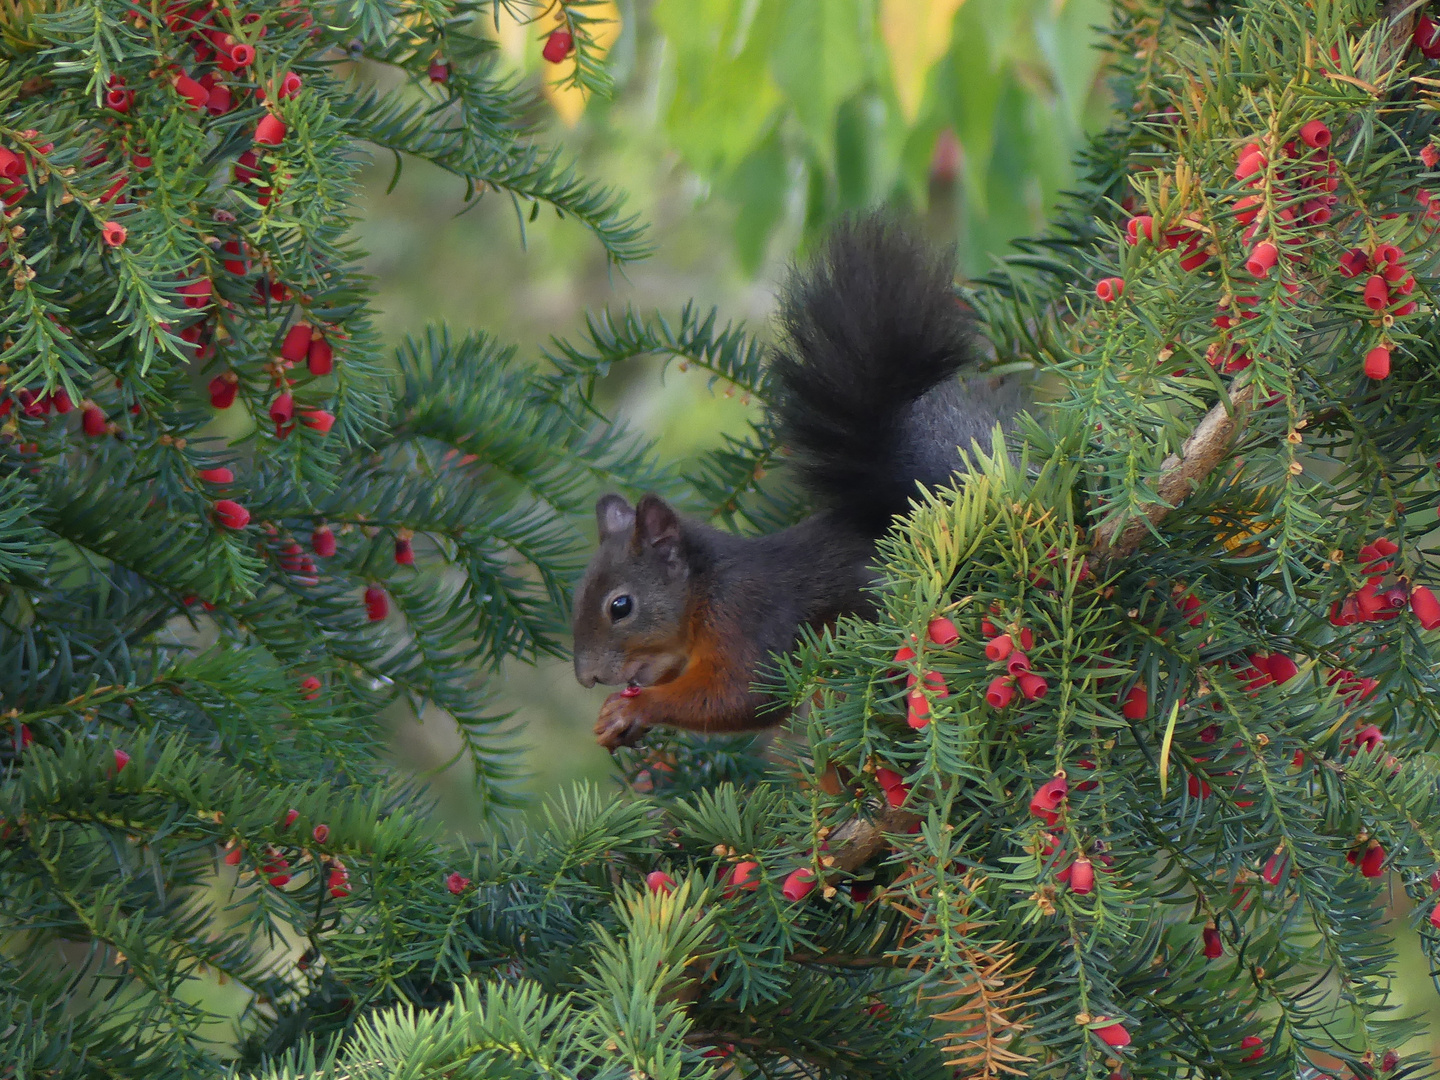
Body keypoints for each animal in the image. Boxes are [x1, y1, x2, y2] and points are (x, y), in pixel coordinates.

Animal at [573, 213, 1025, 754]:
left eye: (621, 606)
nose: (586, 677)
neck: (705, 593)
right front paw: (612, 717)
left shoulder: (748, 620)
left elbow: (743, 695)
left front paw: (636, 707)